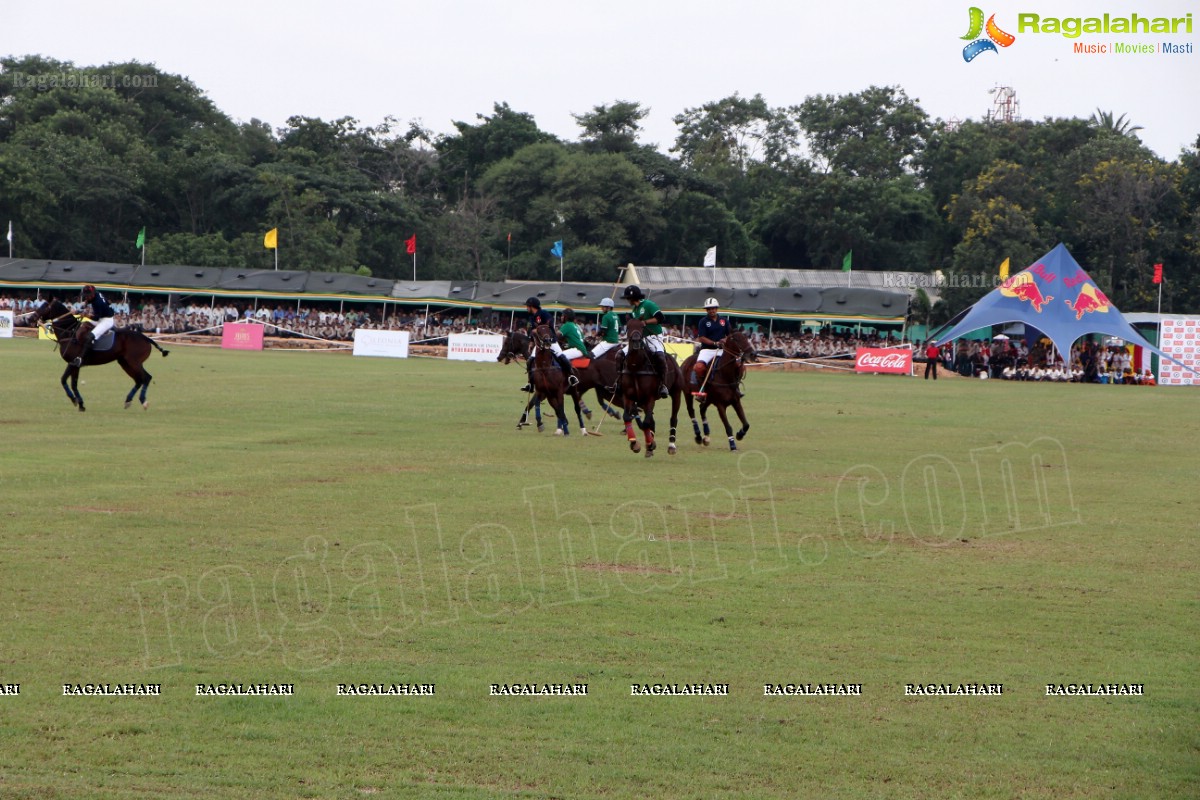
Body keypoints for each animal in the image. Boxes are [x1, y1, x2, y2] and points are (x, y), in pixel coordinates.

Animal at [33, 299, 169, 412]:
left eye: (45, 306)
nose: (32, 317)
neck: (70, 332)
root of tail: (146, 338)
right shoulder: (75, 365)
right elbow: (73, 383)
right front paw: (81, 404)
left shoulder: (73, 362)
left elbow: (63, 380)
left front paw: (74, 400)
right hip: (124, 362)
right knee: (139, 379)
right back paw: (128, 401)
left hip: (133, 361)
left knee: (146, 377)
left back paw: (143, 401)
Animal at [614, 316, 681, 455]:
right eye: (628, 326)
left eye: (641, 327)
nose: (635, 342)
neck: (636, 366)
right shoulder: (628, 396)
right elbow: (627, 417)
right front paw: (635, 443)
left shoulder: (650, 398)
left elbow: (646, 422)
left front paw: (650, 445)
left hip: (676, 392)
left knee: (673, 418)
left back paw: (671, 445)